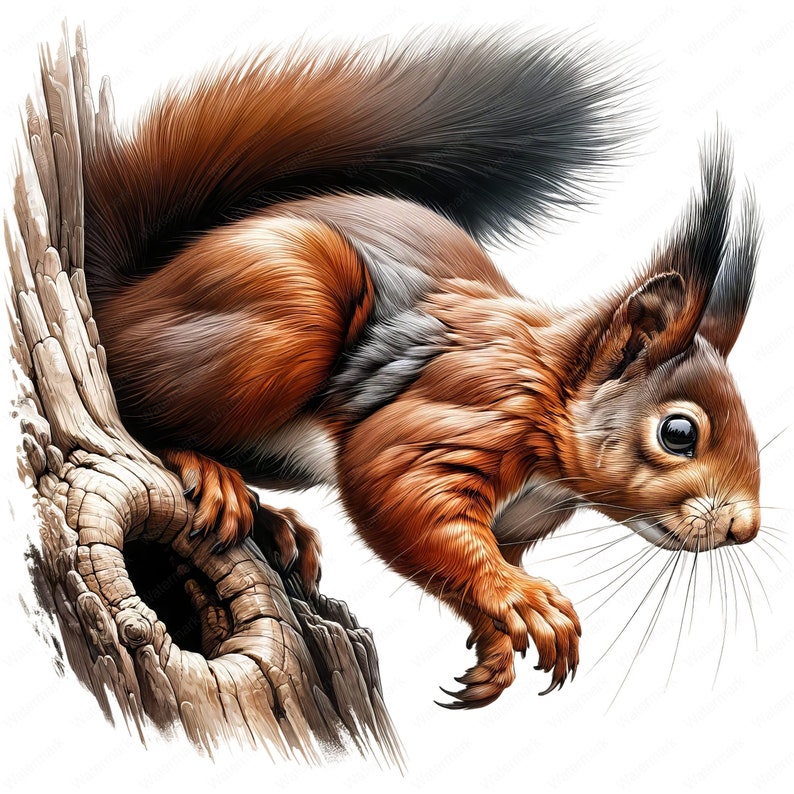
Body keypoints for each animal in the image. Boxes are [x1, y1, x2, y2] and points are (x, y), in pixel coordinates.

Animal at [82, 32, 762, 708]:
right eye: (678, 432)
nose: (745, 527)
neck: (551, 392)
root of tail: (127, 296)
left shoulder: (515, 524)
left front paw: (493, 650)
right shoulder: (464, 409)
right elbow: (400, 488)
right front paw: (525, 600)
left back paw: (278, 523)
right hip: (293, 302)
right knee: (134, 406)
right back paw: (209, 474)